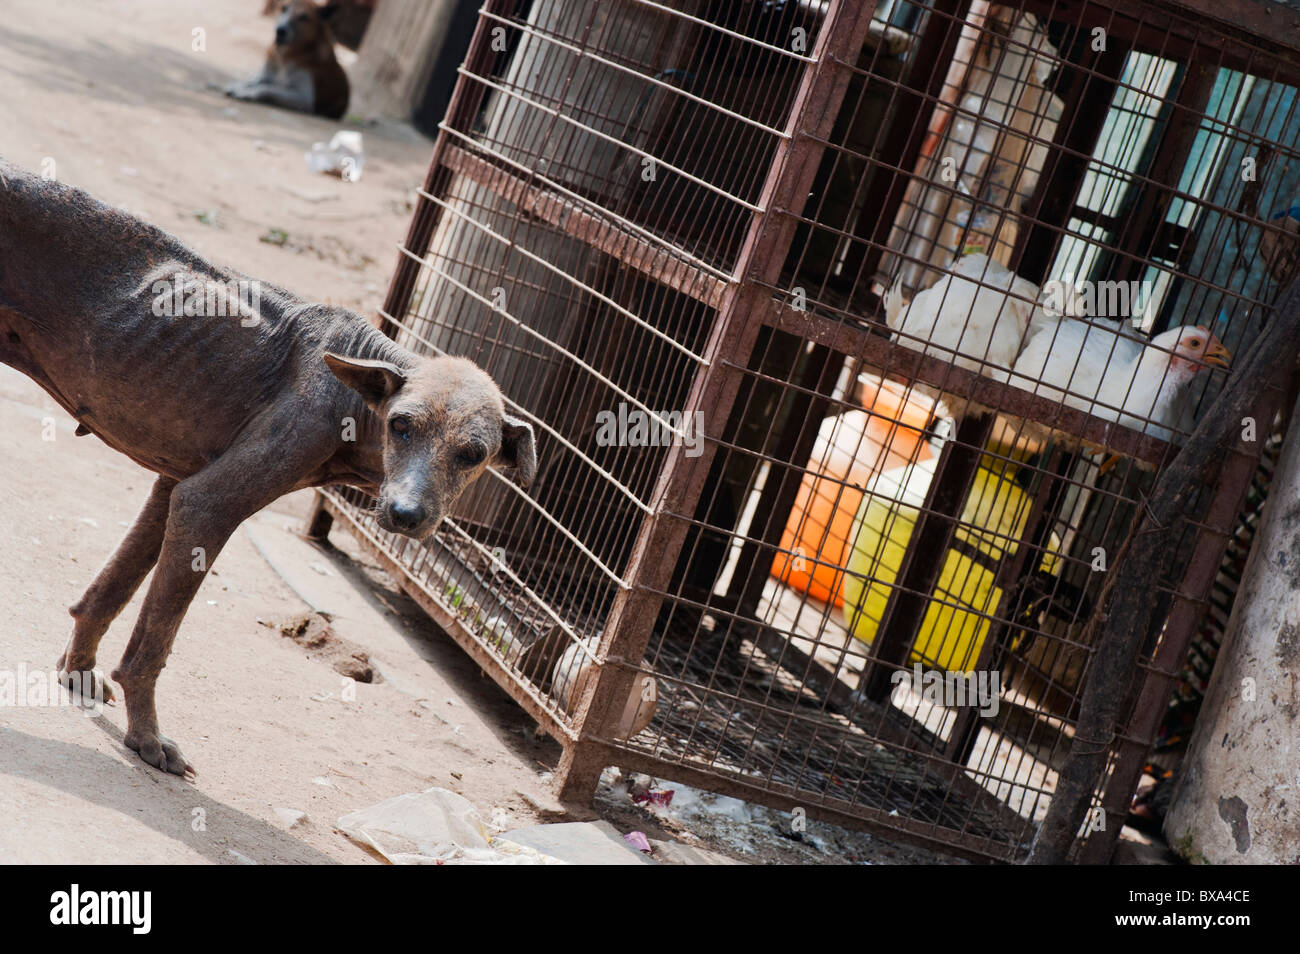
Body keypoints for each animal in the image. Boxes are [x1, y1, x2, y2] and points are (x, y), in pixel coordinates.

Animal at [0, 160, 535, 779]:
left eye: (473, 455)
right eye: (402, 425)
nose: (405, 515)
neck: (357, 398)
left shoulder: (173, 487)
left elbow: (107, 592)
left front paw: (80, 672)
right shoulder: (207, 504)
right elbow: (151, 648)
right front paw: (146, 737)